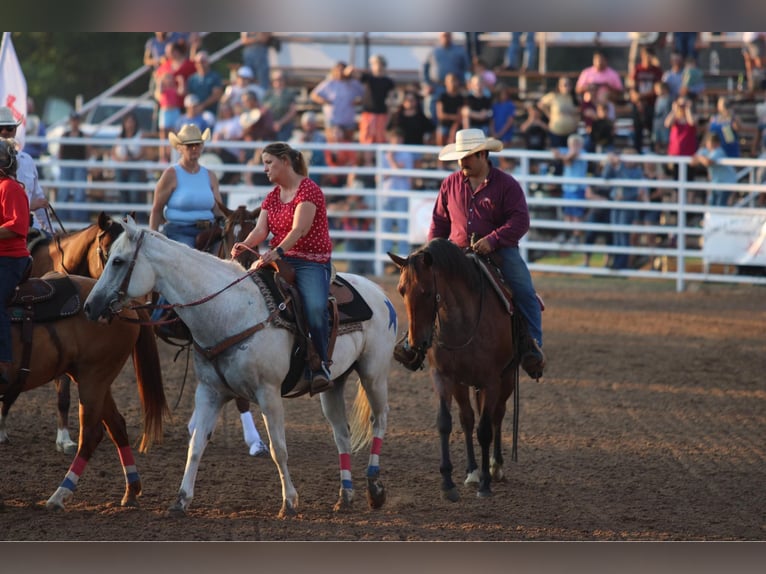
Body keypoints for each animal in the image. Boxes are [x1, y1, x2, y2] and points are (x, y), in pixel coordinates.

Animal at [0, 272, 167, 510]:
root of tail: (126, 307)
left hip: (93, 379)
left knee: (91, 434)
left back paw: (59, 495)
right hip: (96, 380)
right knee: (117, 425)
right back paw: (131, 491)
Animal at [84, 219, 400, 516]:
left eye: (118, 261)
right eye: (106, 256)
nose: (90, 306)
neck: (229, 310)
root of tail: (378, 293)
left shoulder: (268, 393)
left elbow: (278, 449)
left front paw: (289, 501)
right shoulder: (209, 392)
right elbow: (196, 446)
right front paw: (181, 500)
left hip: (373, 373)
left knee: (380, 419)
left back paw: (375, 489)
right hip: (333, 384)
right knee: (342, 434)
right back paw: (345, 496)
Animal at [390, 241, 528, 502]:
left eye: (426, 291)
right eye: (401, 290)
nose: (415, 344)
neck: (463, 323)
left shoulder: (491, 381)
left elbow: (485, 430)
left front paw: (485, 485)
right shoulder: (443, 378)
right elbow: (446, 423)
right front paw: (447, 483)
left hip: (505, 380)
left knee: (496, 416)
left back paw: (495, 467)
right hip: (462, 384)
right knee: (467, 419)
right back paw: (472, 471)